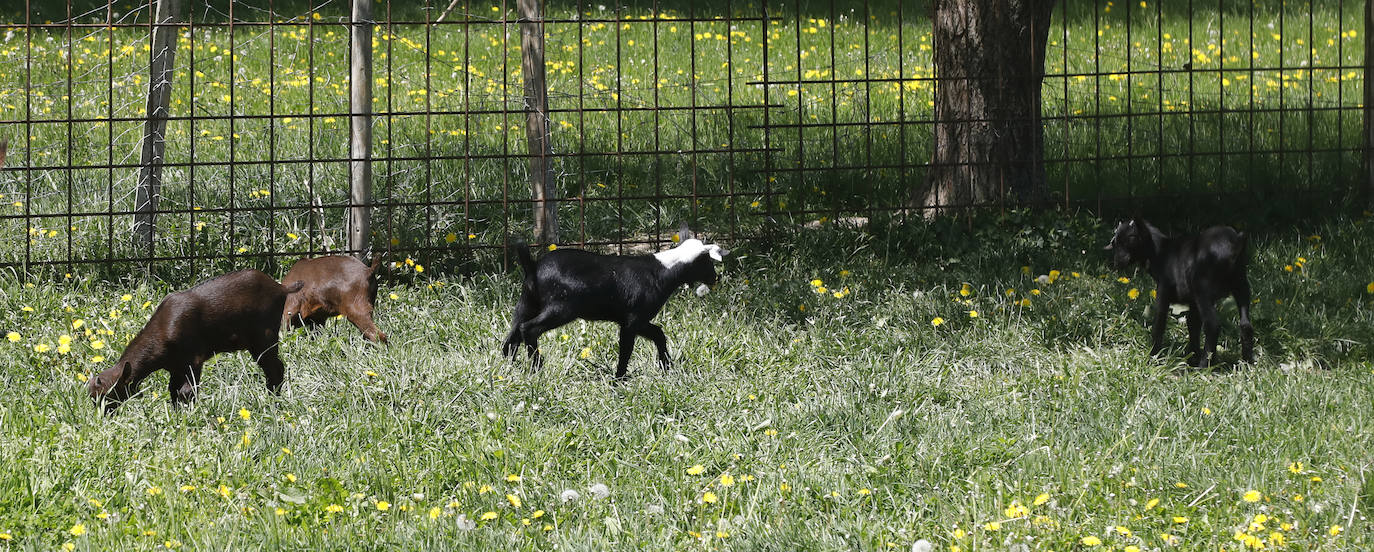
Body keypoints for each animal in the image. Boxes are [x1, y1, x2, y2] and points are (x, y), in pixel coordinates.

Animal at [90, 269, 306, 411]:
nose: (101, 416)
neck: (162, 332)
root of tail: (281, 288)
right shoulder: (175, 367)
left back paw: (273, 402)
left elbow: (186, 392)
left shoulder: (193, 359)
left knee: (275, 369)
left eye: (107, 397)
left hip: (264, 337)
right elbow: (173, 391)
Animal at [500, 225, 725, 378]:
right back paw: (537, 367)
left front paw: (666, 366)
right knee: (529, 328)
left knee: (513, 334)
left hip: (527, 304)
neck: (662, 270)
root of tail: (533, 267)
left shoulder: (635, 320)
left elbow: (658, 333)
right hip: (561, 308)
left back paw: (508, 367)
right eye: (707, 262)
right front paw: (619, 379)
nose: (716, 279)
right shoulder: (633, 320)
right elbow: (626, 349)